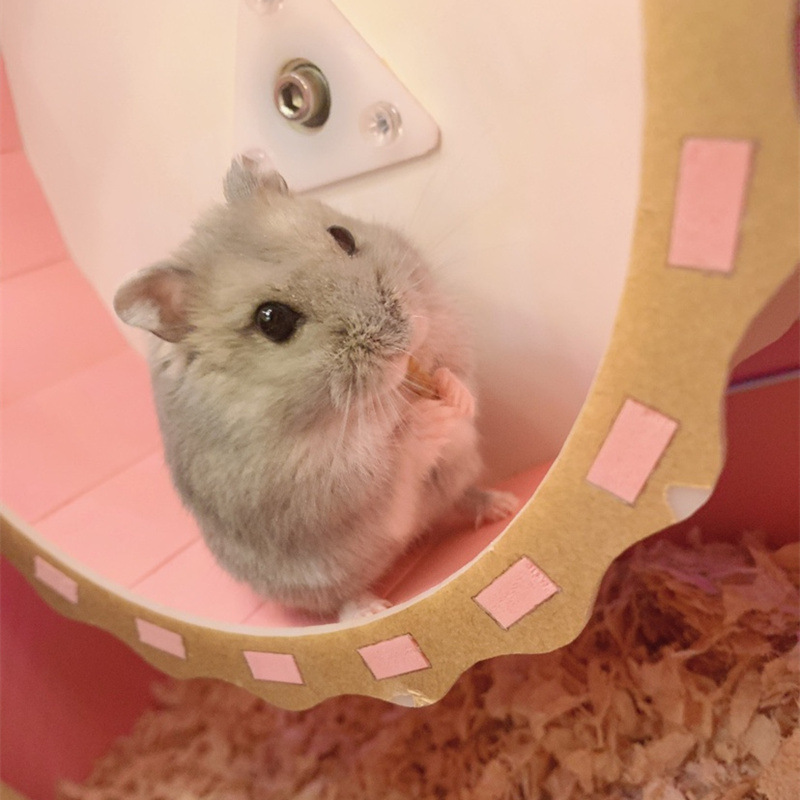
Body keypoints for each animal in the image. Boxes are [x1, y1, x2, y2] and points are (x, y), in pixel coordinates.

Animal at [114, 156, 517, 620]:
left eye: (343, 236)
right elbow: (389, 454)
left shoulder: (444, 326)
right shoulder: (316, 479)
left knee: (459, 498)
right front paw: (428, 418)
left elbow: (458, 373)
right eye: (272, 319)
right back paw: (371, 609)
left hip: (458, 476)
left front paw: (453, 398)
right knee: (341, 596)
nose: (401, 340)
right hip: (324, 575)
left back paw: (502, 505)